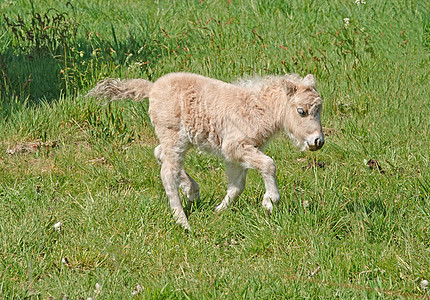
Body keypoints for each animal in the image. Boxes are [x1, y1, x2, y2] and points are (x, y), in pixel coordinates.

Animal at [88, 72, 322, 230]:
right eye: (301, 111)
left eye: (320, 109)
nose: (318, 141)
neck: (257, 107)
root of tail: (152, 88)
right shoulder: (236, 146)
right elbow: (268, 164)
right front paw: (270, 202)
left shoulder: (235, 154)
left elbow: (237, 185)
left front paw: (218, 211)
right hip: (173, 136)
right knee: (168, 172)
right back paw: (182, 222)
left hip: (180, 139)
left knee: (160, 154)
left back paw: (191, 191)